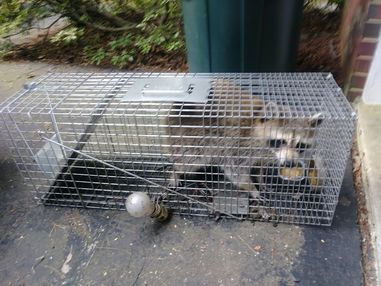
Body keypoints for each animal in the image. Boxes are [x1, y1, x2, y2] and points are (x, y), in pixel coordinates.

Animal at [166, 80, 320, 194]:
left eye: (301, 145)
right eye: (280, 141)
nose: (289, 164)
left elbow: (259, 166)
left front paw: (260, 179)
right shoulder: (236, 145)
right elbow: (236, 172)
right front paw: (252, 188)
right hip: (189, 138)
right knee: (188, 161)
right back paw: (175, 171)